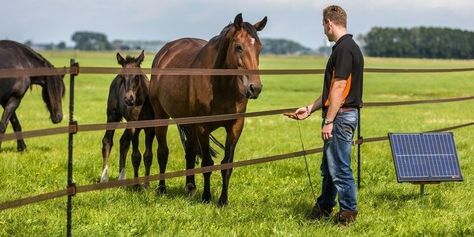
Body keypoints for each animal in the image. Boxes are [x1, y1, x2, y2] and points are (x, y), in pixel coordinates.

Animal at [101, 51, 155, 185]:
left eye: (137, 77)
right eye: (122, 77)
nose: (128, 99)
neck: (141, 103)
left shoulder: (151, 127)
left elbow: (148, 155)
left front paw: (146, 184)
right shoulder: (134, 127)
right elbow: (136, 156)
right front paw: (136, 185)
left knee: (123, 141)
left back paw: (122, 177)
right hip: (112, 115)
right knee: (107, 141)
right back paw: (104, 177)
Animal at [149, 13, 266, 206]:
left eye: (259, 47)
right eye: (239, 47)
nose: (254, 88)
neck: (221, 84)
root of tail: (165, 52)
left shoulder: (235, 125)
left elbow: (227, 164)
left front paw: (223, 201)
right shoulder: (202, 126)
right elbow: (206, 163)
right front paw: (206, 197)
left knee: (189, 151)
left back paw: (190, 187)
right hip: (161, 115)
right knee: (163, 152)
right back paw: (161, 188)